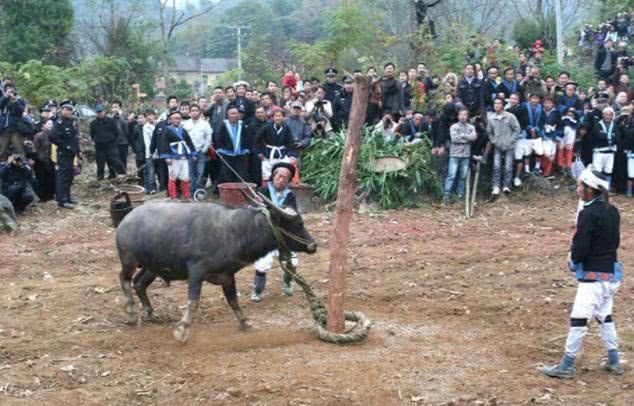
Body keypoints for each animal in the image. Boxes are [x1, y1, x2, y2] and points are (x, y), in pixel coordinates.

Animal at [115, 195, 317, 343]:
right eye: (299, 223)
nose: (313, 245)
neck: (233, 231)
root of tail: (126, 219)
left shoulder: (227, 276)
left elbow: (234, 300)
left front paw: (245, 322)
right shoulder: (196, 272)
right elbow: (193, 302)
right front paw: (182, 329)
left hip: (152, 266)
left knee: (139, 282)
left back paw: (150, 313)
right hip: (129, 260)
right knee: (124, 278)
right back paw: (131, 313)